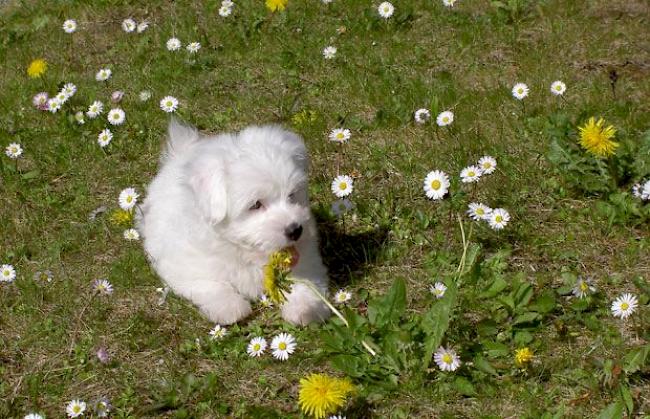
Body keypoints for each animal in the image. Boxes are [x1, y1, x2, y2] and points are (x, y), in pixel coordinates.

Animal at [137, 120, 330, 326]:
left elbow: (306, 280)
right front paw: (230, 307)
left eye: (292, 195)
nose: (295, 230)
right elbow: (209, 283)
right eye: (256, 205)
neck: (244, 253)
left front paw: (305, 308)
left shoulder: (307, 257)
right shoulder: (184, 264)